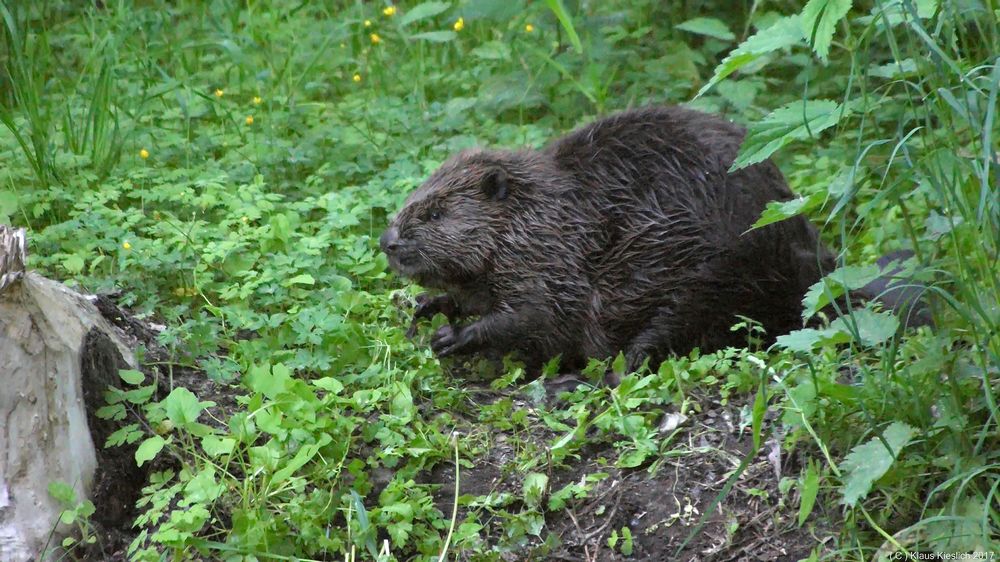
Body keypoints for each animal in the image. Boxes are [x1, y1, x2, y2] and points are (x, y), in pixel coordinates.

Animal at [380, 106, 836, 370]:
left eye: (436, 212)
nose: (388, 241)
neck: (542, 211)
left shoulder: (547, 260)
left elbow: (531, 314)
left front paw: (450, 337)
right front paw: (427, 306)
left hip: (707, 279)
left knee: (640, 354)